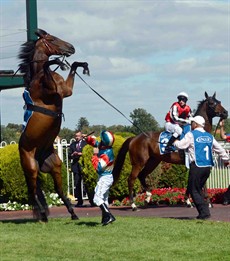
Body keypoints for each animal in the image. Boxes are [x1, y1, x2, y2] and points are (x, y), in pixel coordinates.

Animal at [17, 28, 90, 220]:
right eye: (51, 39)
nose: (71, 47)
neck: (38, 77)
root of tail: (38, 157)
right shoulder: (52, 89)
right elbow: (47, 65)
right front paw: (57, 61)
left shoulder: (66, 91)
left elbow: (73, 67)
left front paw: (83, 65)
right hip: (31, 168)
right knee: (33, 191)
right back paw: (42, 215)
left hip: (55, 165)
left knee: (58, 189)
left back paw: (73, 214)